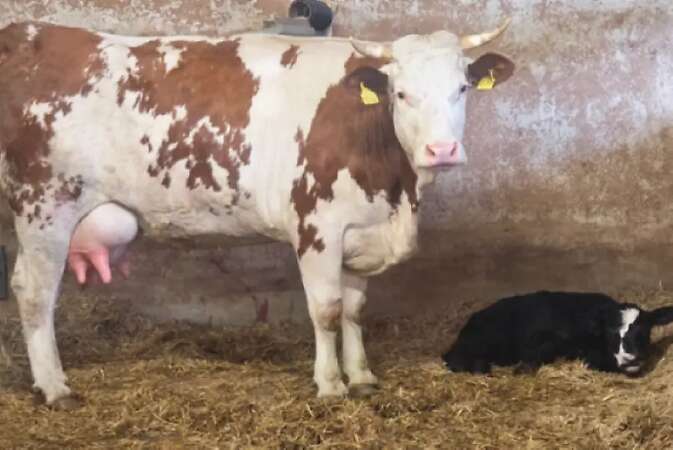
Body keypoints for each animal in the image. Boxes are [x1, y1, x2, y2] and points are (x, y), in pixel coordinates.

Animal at [0, 19, 514, 408]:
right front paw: (330, 384)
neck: (396, 190)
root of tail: (29, 31)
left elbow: (353, 310)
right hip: (45, 206)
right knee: (34, 292)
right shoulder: (316, 228)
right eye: (401, 94)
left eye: (462, 88)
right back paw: (55, 387)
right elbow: (326, 311)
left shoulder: (360, 229)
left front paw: (363, 378)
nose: (441, 150)